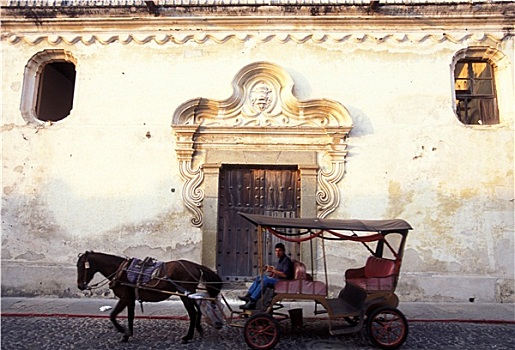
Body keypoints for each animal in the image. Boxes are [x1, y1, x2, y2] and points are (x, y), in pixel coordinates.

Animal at [77, 250, 224, 344]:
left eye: (82, 267)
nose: (80, 286)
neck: (121, 270)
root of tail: (195, 265)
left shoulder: (125, 297)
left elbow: (112, 315)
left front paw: (122, 330)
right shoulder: (130, 299)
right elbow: (130, 316)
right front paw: (128, 334)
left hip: (185, 295)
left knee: (193, 313)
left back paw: (188, 337)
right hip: (188, 294)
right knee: (198, 311)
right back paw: (199, 329)